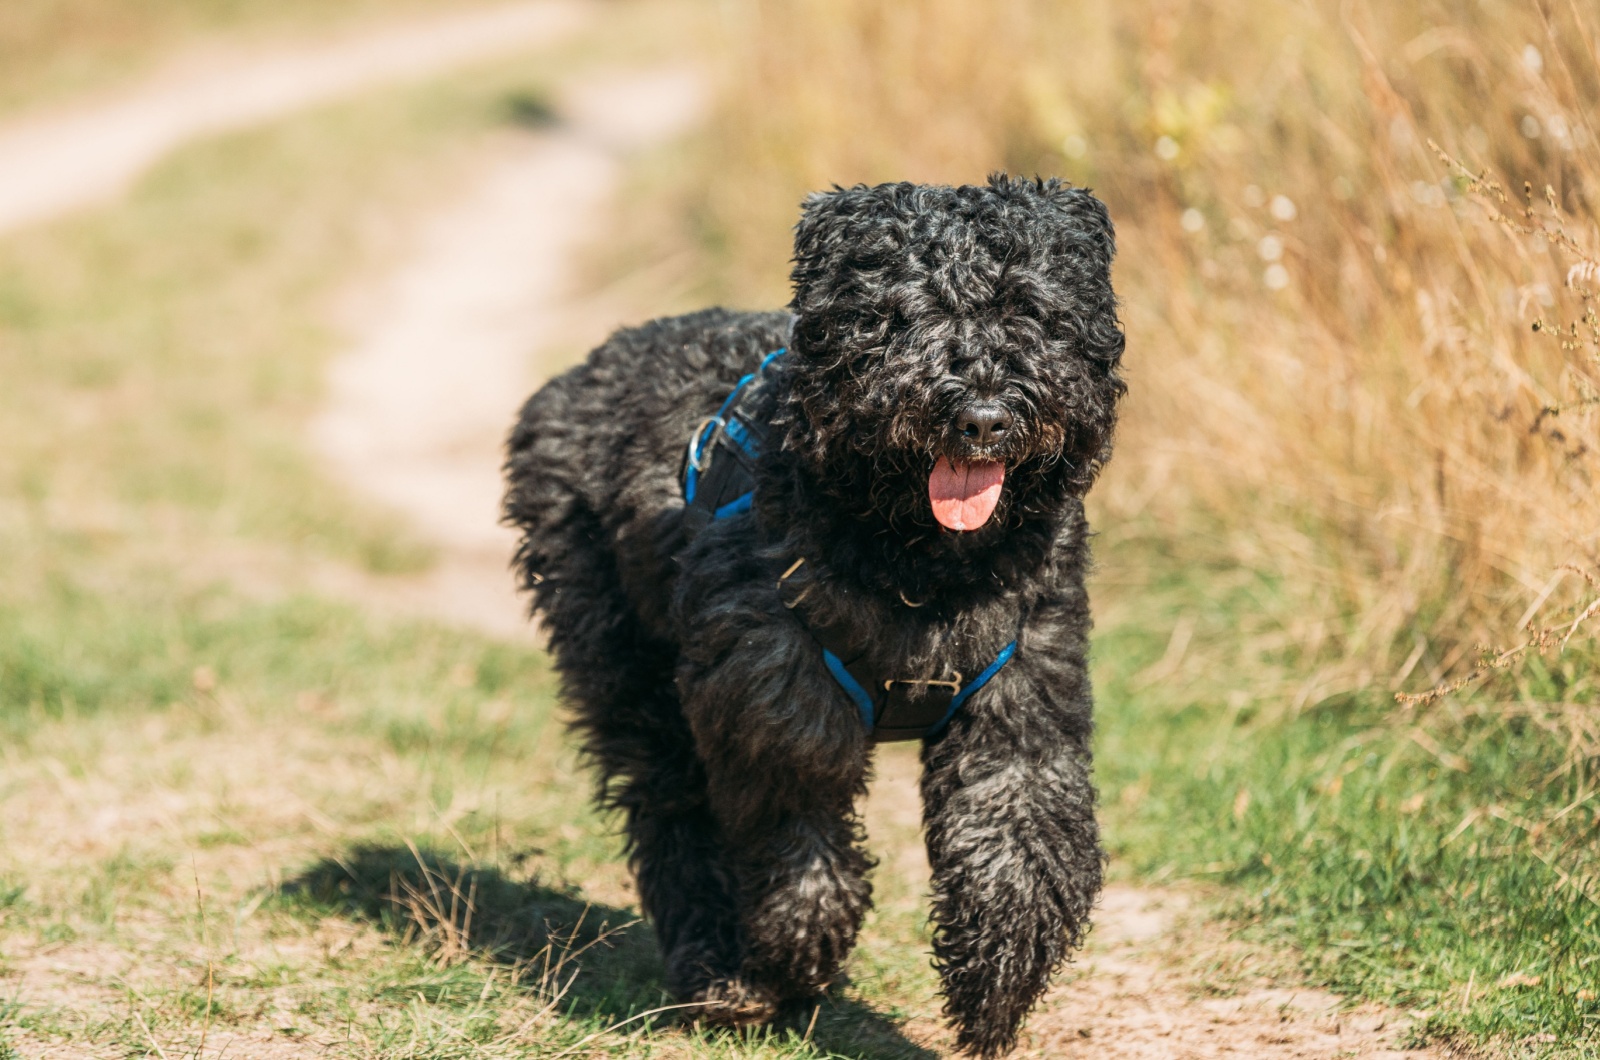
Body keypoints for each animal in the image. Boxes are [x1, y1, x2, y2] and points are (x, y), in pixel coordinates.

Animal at [502, 174, 1126, 1056]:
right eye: (903, 313)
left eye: (1031, 309)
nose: (982, 415)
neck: (920, 567)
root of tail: (582, 371)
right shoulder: (779, 710)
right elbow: (798, 848)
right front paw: (794, 960)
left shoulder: (1019, 701)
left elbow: (1018, 842)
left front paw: (998, 981)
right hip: (627, 669)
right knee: (675, 816)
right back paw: (716, 966)